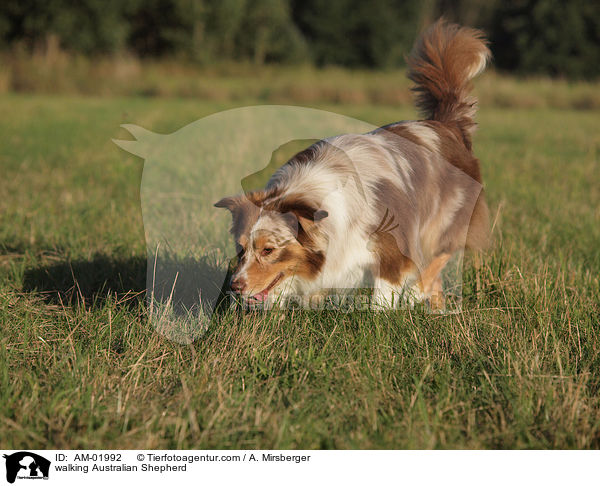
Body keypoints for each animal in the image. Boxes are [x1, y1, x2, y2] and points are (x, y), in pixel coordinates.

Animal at [213, 19, 490, 312]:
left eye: (268, 250)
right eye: (241, 248)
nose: (234, 286)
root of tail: (447, 124)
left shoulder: (392, 247)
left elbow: (383, 295)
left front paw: (380, 315)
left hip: (446, 219)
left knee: (437, 257)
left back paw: (417, 293)